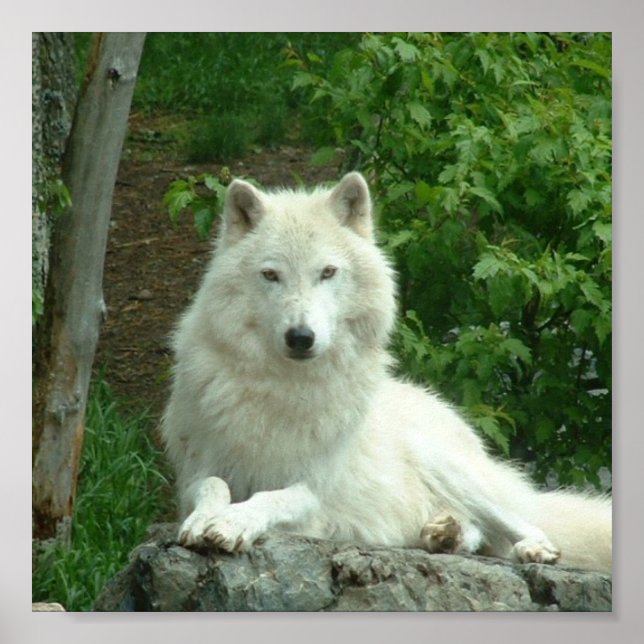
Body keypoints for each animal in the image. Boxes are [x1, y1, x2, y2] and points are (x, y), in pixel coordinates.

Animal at [161, 172, 611, 572]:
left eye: (327, 272)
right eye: (271, 275)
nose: (301, 337)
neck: (285, 389)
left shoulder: (314, 491)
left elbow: (270, 498)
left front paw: (232, 523)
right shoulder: (195, 472)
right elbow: (213, 487)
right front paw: (204, 520)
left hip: (446, 465)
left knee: (522, 525)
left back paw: (530, 547)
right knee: (478, 534)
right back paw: (442, 534)